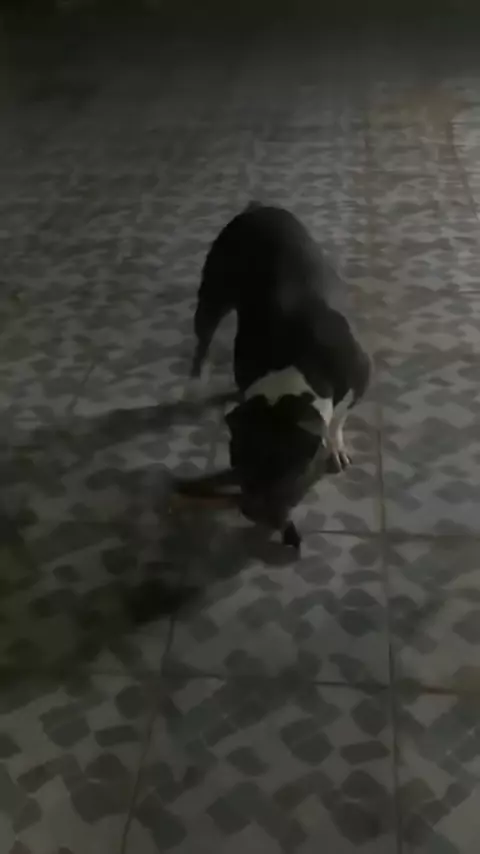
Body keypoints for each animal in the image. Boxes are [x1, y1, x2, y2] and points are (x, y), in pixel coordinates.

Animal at [191, 202, 370, 549]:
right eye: (238, 465)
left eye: (288, 475)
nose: (250, 510)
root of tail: (258, 208)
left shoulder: (358, 379)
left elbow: (338, 420)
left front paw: (335, 447)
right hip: (212, 292)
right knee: (203, 337)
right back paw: (196, 375)